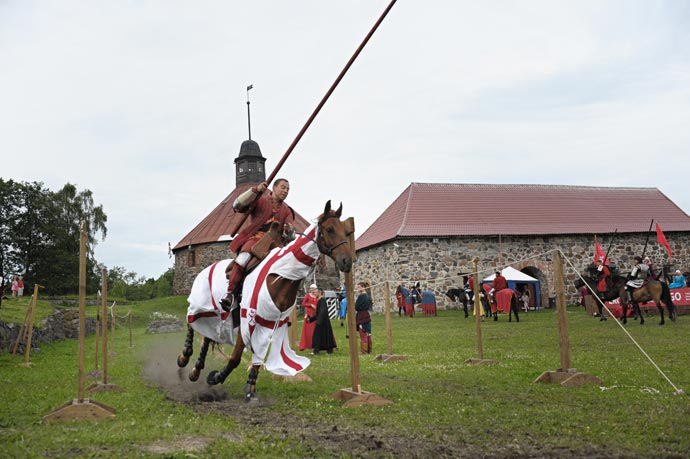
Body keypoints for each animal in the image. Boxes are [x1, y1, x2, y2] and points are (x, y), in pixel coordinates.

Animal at [175, 201, 352, 402]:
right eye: (329, 229)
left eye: (345, 230)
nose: (347, 261)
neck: (278, 277)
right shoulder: (248, 319)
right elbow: (235, 358)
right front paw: (217, 377)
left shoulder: (269, 323)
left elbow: (257, 358)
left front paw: (250, 387)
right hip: (202, 305)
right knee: (191, 322)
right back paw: (184, 356)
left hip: (218, 315)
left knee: (207, 336)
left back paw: (195, 370)